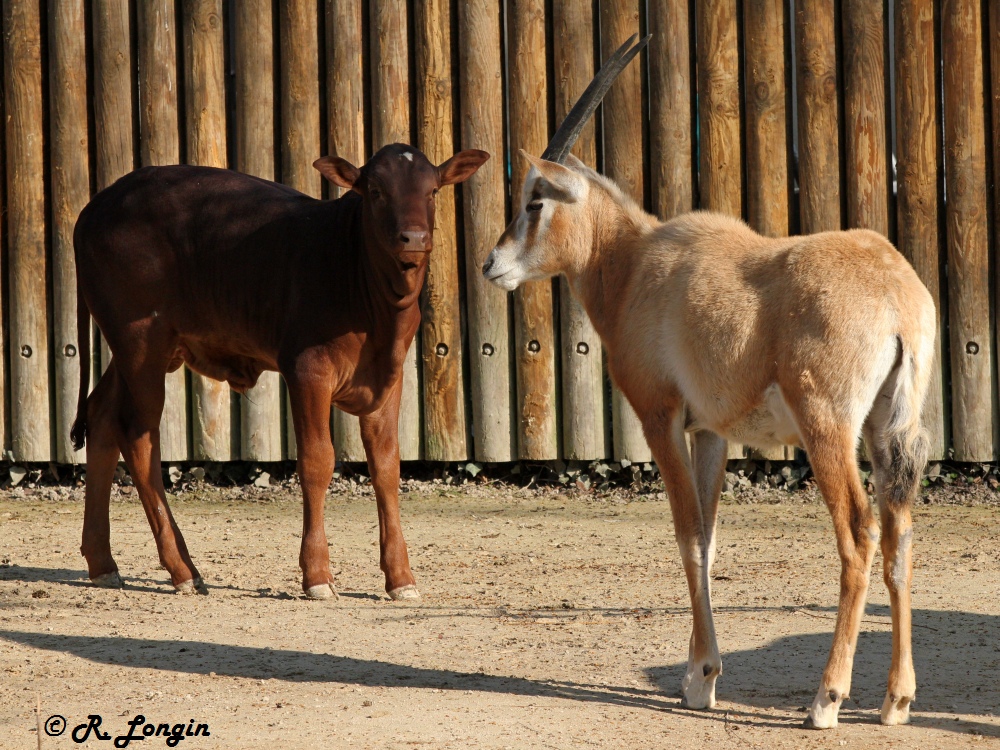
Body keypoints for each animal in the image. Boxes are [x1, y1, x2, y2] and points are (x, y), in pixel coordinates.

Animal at [72, 144, 490, 604]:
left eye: (432, 190)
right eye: (377, 191)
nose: (413, 238)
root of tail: (97, 205)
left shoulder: (389, 374)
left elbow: (386, 466)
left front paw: (400, 577)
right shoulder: (307, 368)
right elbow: (317, 461)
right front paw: (317, 574)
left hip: (137, 348)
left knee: (102, 416)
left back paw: (102, 562)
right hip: (141, 339)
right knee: (139, 436)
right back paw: (182, 568)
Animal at [484, 33, 936, 728]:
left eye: (535, 200)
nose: (493, 264)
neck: (633, 265)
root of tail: (897, 294)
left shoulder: (662, 418)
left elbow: (689, 537)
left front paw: (701, 679)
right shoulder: (712, 433)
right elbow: (712, 538)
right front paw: (699, 672)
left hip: (828, 428)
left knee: (859, 533)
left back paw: (826, 699)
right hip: (889, 432)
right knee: (899, 535)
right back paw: (896, 700)